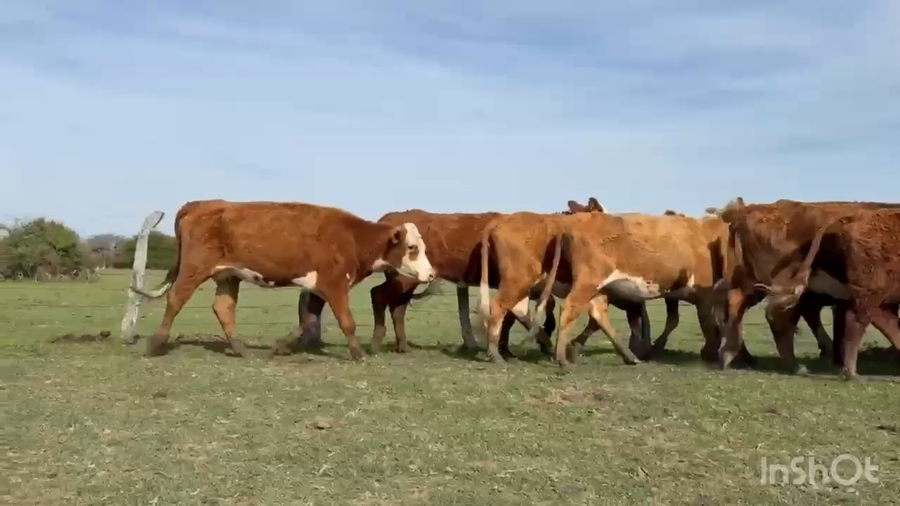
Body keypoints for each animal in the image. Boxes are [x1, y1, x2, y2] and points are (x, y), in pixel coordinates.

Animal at [131, 200, 436, 361]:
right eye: (412, 247)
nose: (431, 273)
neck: (353, 237)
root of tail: (204, 204)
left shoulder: (318, 287)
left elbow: (308, 321)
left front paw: (281, 346)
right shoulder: (335, 285)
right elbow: (346, 321)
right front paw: (358, 353)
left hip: (228, 275)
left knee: (223, 308)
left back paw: (240, 348)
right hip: (194, 269)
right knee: (175, 299)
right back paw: (155, 344)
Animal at [713, 198, 900, 377]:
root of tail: (744, 212)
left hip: (756, 284)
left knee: (735, 302)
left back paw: (728, 355)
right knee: (779, 318)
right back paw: (798, 366)